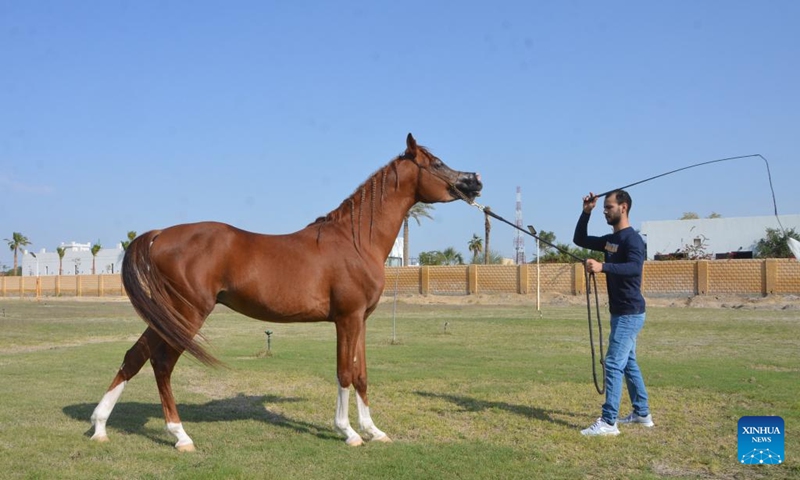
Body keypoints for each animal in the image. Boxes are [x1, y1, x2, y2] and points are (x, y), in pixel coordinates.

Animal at [90, 132, 484, 450]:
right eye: (436, 163)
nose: (476, 180)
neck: (355, 241)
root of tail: (159, 235)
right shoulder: (347, 318)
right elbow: (344, 372)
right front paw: (348, 433)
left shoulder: (361, 320)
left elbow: (361, 374)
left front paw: (374, 431)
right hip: (187, 313)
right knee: (162, 364)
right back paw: (180, 436)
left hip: (168, 315)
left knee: (135, 356)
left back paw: (100, 426)